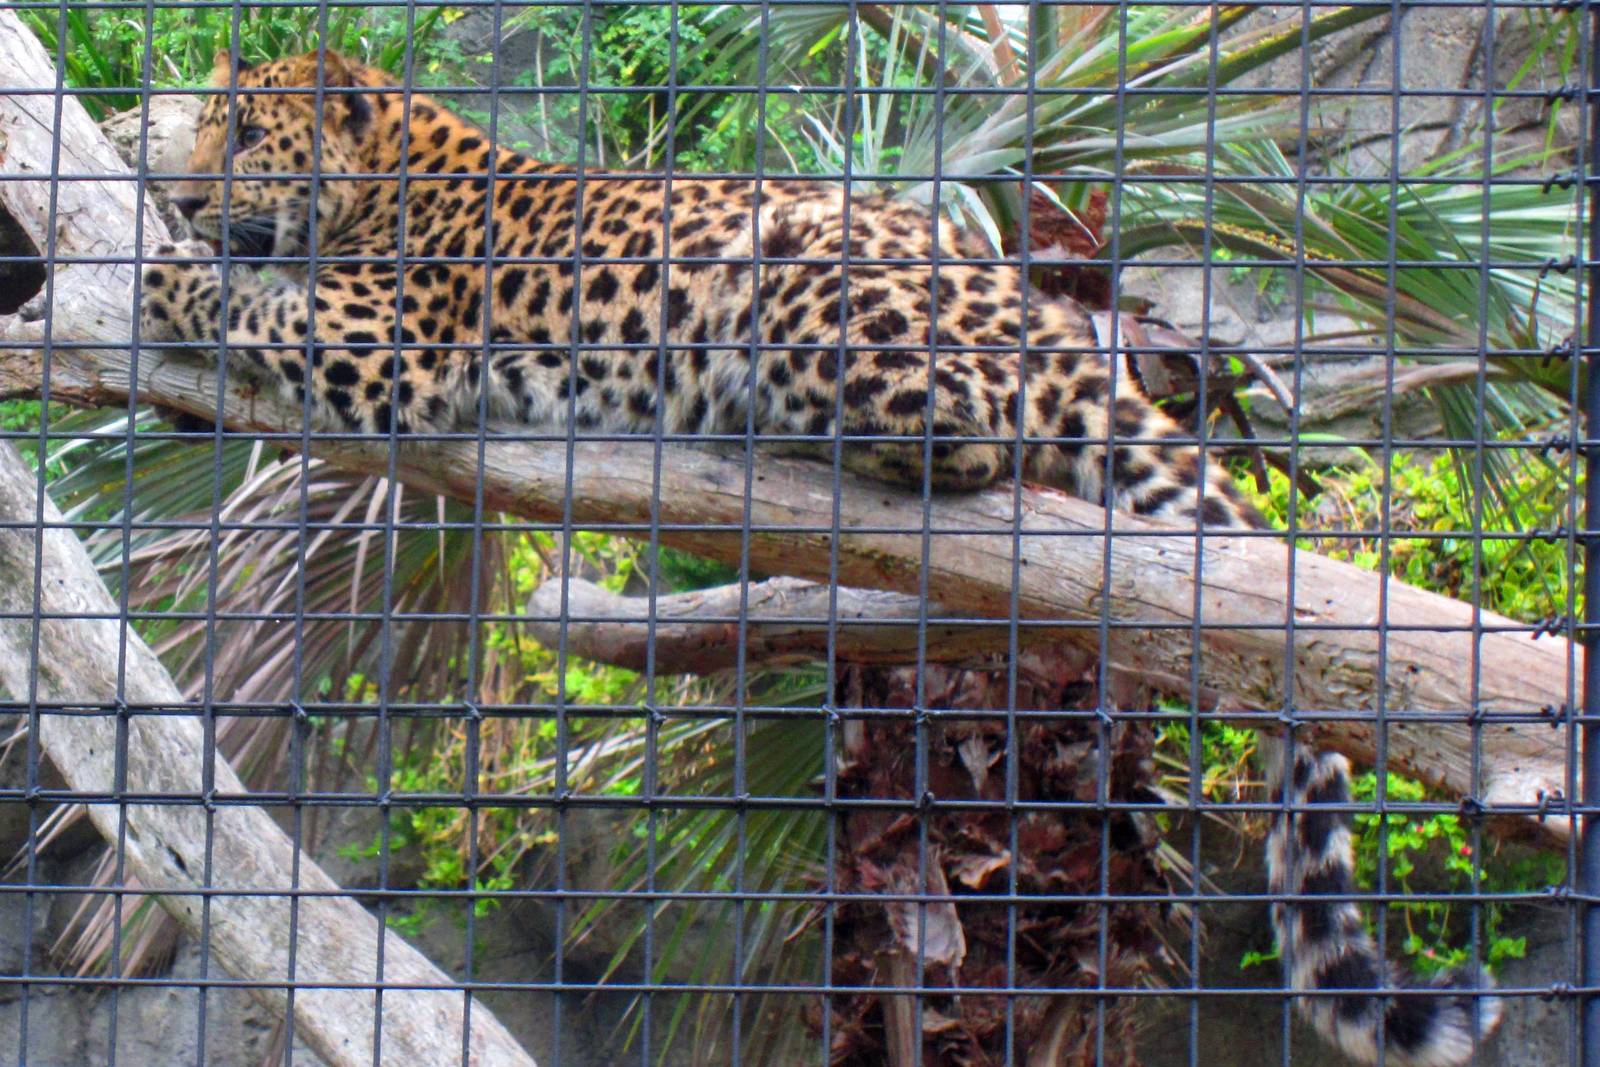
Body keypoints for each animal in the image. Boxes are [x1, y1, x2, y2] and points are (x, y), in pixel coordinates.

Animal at [138, 49, 1501, 1067]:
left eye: (243, 136)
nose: (186, 199)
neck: (387, 178)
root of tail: (1043, 307)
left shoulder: (390, 342)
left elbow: (248, 300)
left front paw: (164, 271)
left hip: (798, 261)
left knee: (963, 422)